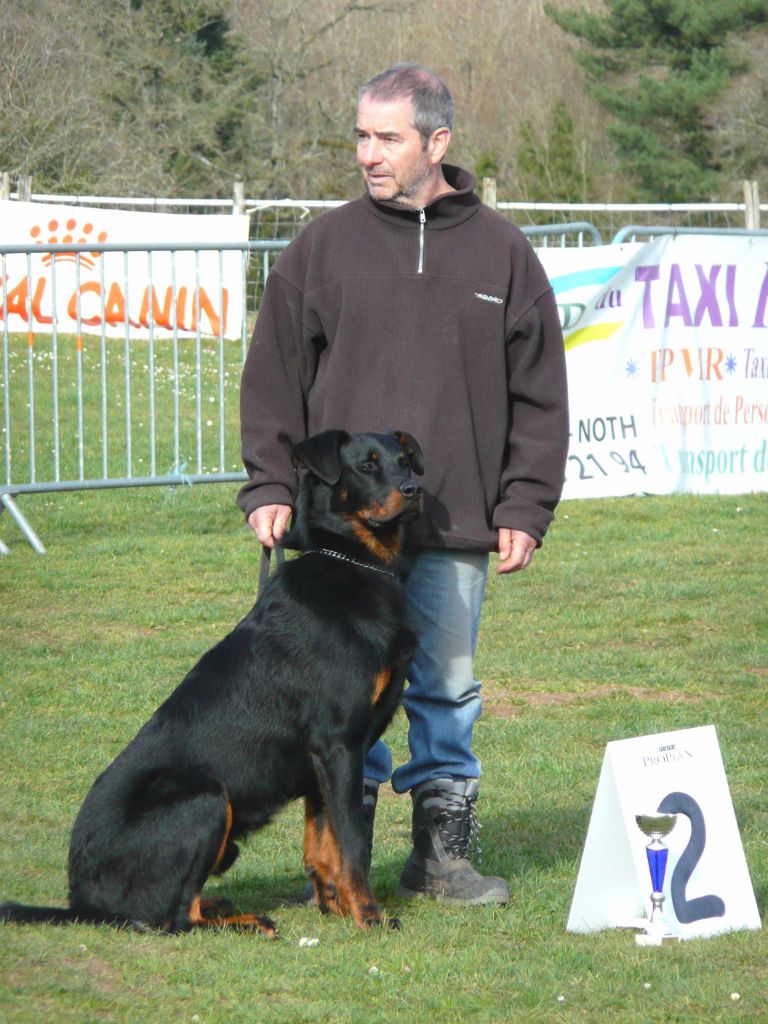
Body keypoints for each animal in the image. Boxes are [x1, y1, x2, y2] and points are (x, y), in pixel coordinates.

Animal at [0, 430, 423, 937]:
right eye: (367, 465)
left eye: (406, 461)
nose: (414, 490)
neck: (356, 564)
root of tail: (83, 902)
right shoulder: (339, 744)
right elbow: (352, 842)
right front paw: (370, 917)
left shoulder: (322, 760)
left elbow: (323, 845)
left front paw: (336, 909)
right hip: (205, 798)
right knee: (178, 918)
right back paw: (247, 921)